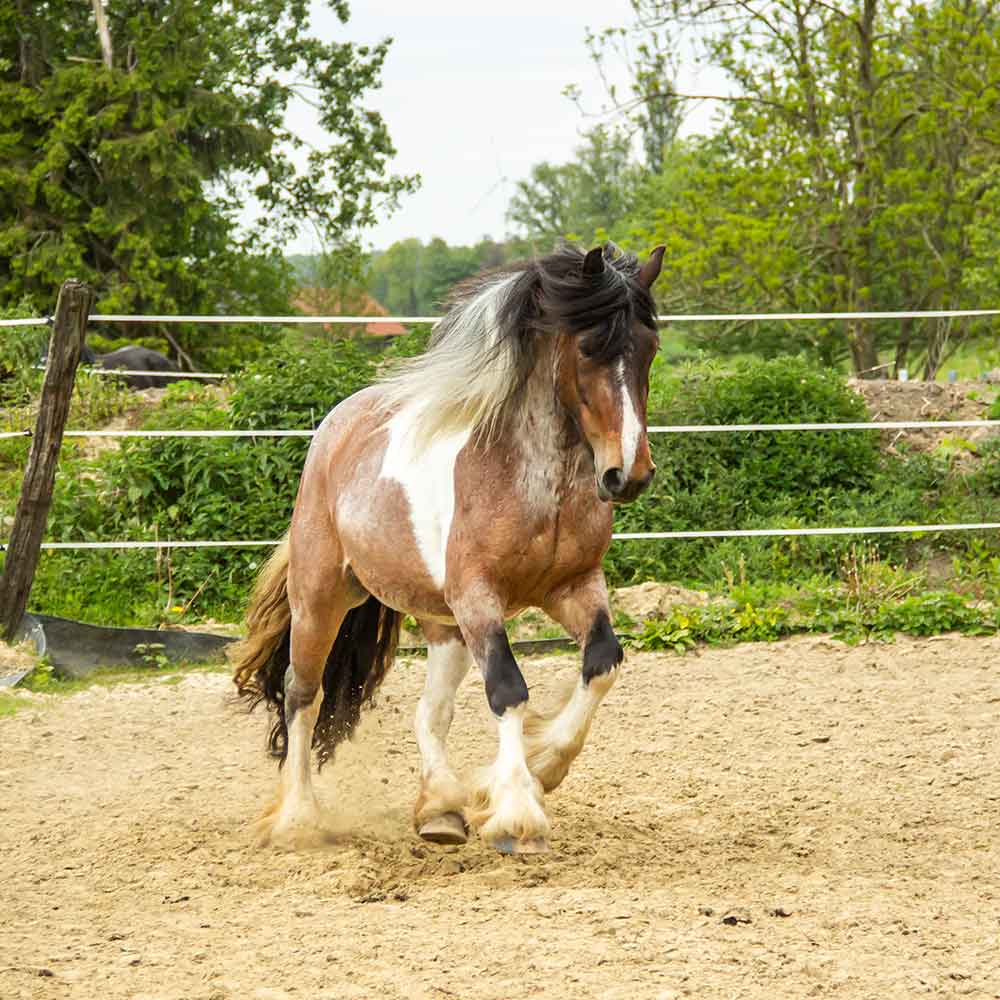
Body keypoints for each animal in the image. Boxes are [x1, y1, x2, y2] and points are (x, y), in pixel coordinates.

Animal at [233, 242, 664, 852]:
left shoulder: (573, 587)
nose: (627, 475)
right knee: (302, 694)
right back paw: (298, 820)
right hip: (321, 598)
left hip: (443, 625)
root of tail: (336, 426)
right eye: (588, 348)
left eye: (650, 348)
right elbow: (508, 689)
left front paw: (541, 768)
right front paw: (517, 814)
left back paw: (440, 810)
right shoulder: (478, 598)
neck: (539, 486)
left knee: (428, 713)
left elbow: (603, 662)